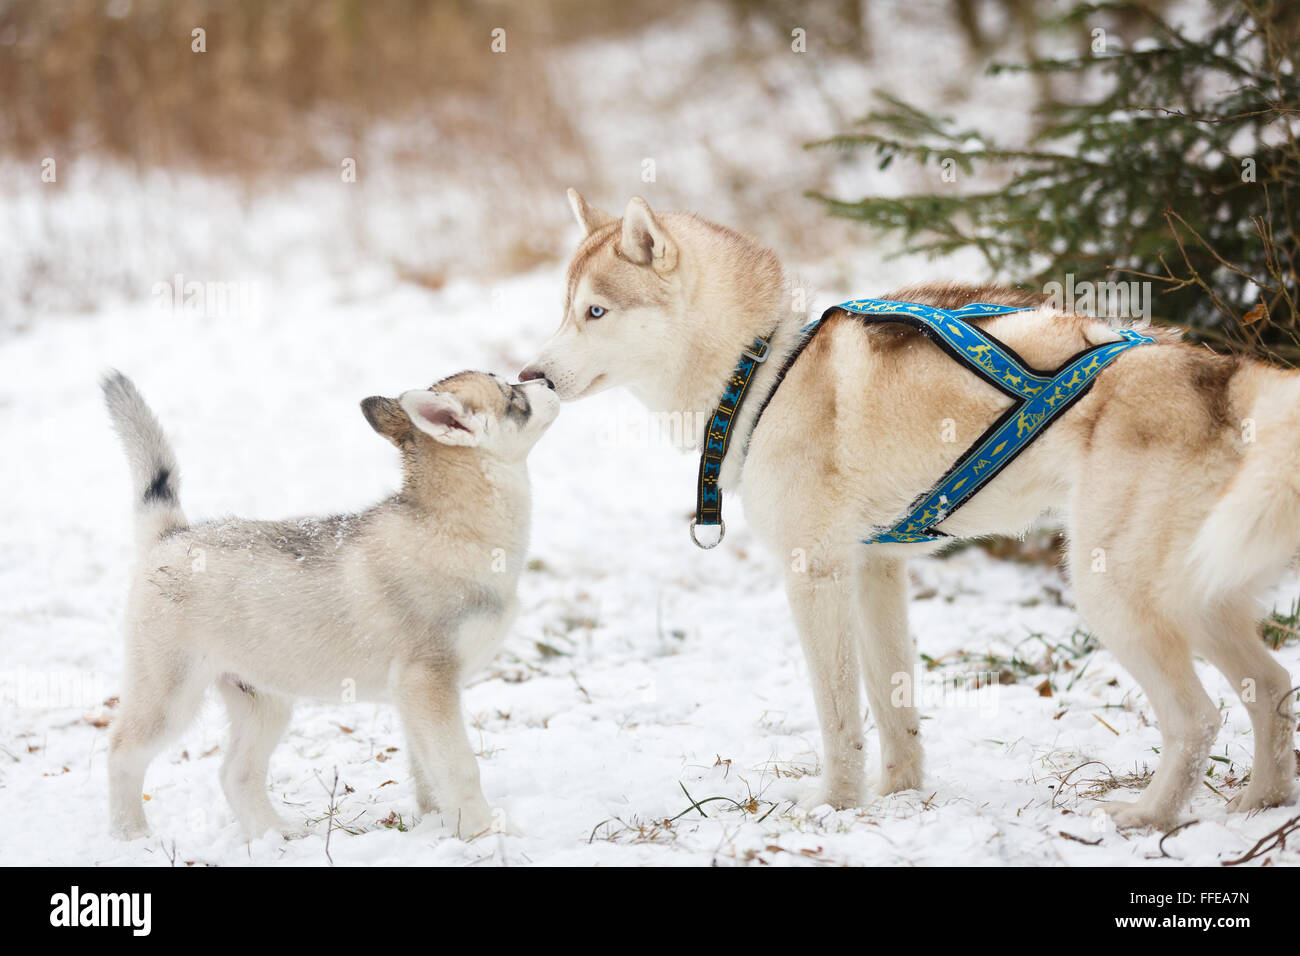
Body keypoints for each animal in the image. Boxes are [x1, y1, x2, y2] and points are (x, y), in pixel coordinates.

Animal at [102, 366, 559, 837]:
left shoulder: (415, 697)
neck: (451, 529)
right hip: (168, 698)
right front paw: (487, 834)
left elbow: (428, 773)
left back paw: (277, 837)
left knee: (235, 774)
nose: (546, 381)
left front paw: (438, 826)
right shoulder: (427, 682)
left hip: (263, 701)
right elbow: (460, 767)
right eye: (511, 395)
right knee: (122, 752)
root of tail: (171, 535)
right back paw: (131, 835)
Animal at [520, 188, 1300, 832]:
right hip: (1199, 591)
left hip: (1112, 592)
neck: (762, 368)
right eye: (563, 310)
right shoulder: (876, 573)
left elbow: (839, 714)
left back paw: (1148, 816)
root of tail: (1215, 369)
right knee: (1271, 684)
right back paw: (1261, 803)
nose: (531, 375)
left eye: (595, 311)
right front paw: (898, 794)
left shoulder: (817, 575)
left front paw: (835, 804)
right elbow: (894, 705)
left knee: (1197, 718)